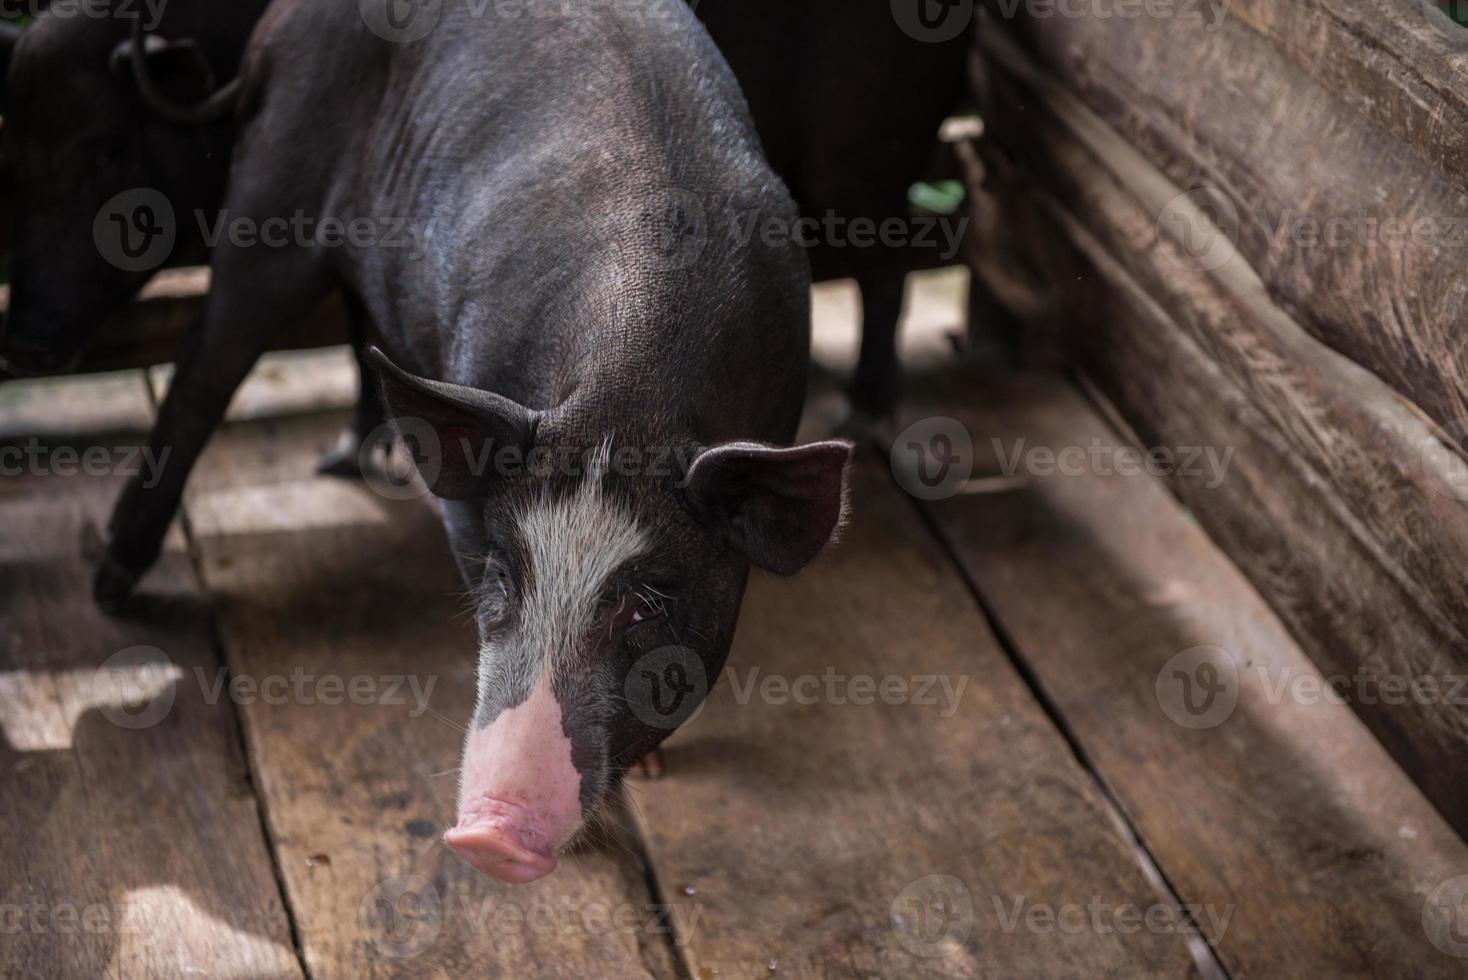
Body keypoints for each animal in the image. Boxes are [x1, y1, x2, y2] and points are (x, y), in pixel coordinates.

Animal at [88, 0, 851, 886]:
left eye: (645, 605)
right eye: (501, 576)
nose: (487, 834)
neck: (630, 400)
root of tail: (279, 26)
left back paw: (349, 458)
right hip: (267, 194)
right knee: (201, 373)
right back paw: (111, 588)